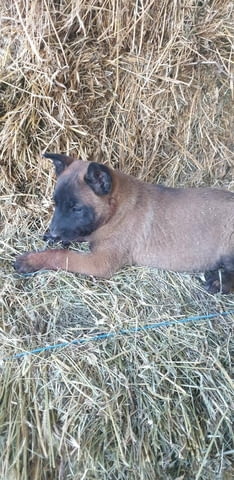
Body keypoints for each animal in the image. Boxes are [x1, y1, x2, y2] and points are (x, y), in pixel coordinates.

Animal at [14, 154, 234, 292]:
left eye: (76, 208)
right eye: (56, 203)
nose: (51, 234)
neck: (117, 211)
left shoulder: (100, 262)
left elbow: (62, 255)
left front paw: (31, 260)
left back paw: (218, 283)